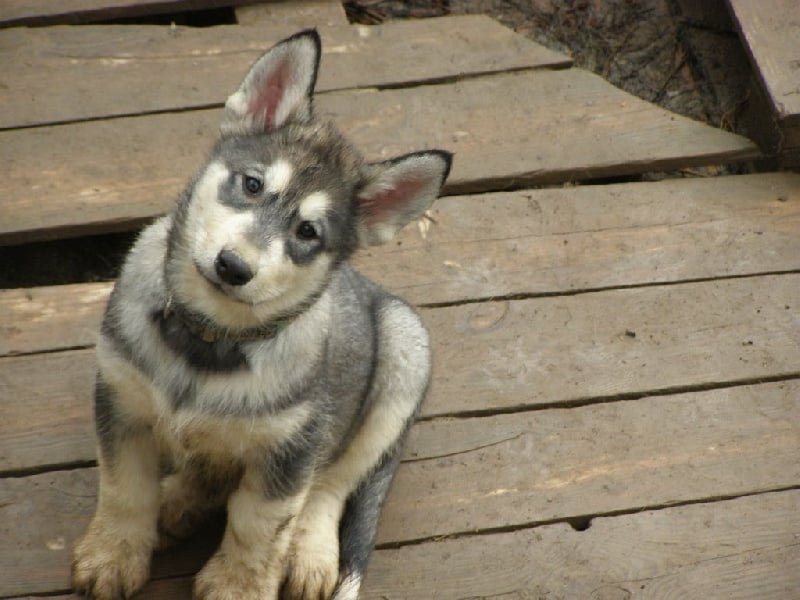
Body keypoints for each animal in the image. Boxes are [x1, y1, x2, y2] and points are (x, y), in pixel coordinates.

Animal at [70, 29, 450, 600]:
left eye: (307, 232)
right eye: (251, 184)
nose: (233, 267)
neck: (207, 339)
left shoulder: (290, 448)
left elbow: (260, 524)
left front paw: (237, 584)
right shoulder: (122, 400)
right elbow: (124, 488)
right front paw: (112, 556)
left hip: (402, 363)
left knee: (332, 484)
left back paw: (310, 554)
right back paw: (179, 500)